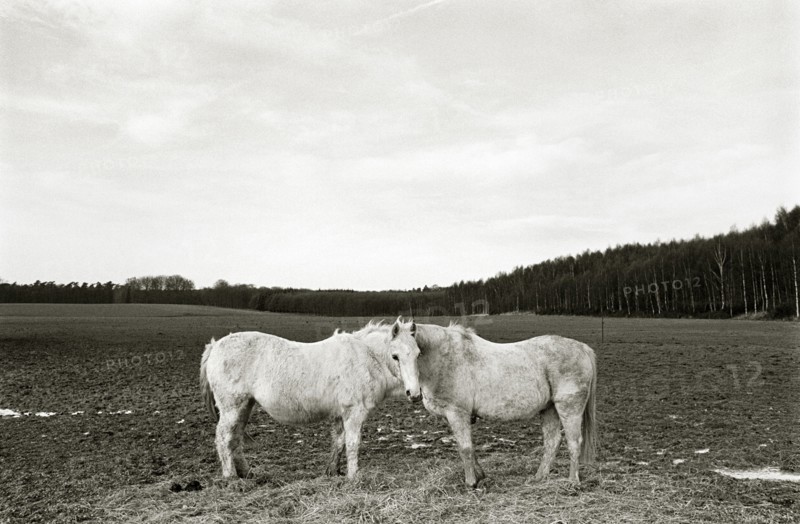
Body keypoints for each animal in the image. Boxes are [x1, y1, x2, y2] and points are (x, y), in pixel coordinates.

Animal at [199, 319, 422, 479]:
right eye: (395, 356)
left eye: (418, 355)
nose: (415, 394)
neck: (365, 357)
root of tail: (215, 346)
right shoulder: (354, 413)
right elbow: (352, 443)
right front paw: (353, 476)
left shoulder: (340, 414)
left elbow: (338, 442)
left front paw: (333, 472)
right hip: (232, 408)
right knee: (224, 439)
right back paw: (231, 477)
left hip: (245, 407)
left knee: (235, 439)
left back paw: (247, 474)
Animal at [395, 321, 597, 487]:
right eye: (395, 356)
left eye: (418, 354)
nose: (413, 394)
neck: (445, 358)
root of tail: (583, 348)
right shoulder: (453, 417)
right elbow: (469, 447)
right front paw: (479, 476)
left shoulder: (457, 414)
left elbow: (465, 448)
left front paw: (471, 483)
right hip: (549, 409)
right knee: (552, 441)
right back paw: (539, 477)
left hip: (569, 409)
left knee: (574, 442)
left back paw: (572, 482)